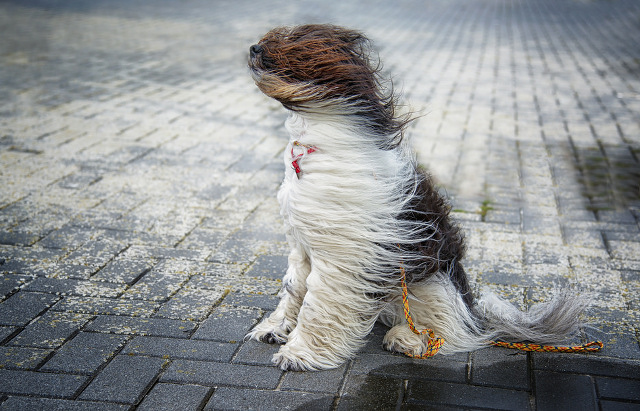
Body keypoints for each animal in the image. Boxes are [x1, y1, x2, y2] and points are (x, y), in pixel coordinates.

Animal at [245, 23, 584, 374]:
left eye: (291, 45)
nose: (254, 48)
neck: (315, 142)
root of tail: (473, 311)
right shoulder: (302, 245)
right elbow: (293, 288)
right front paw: (275, 328)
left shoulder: (343, 256)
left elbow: (316, 302)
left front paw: (299, 353)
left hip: (432, 282)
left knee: (451, 328)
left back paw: (409, 338)